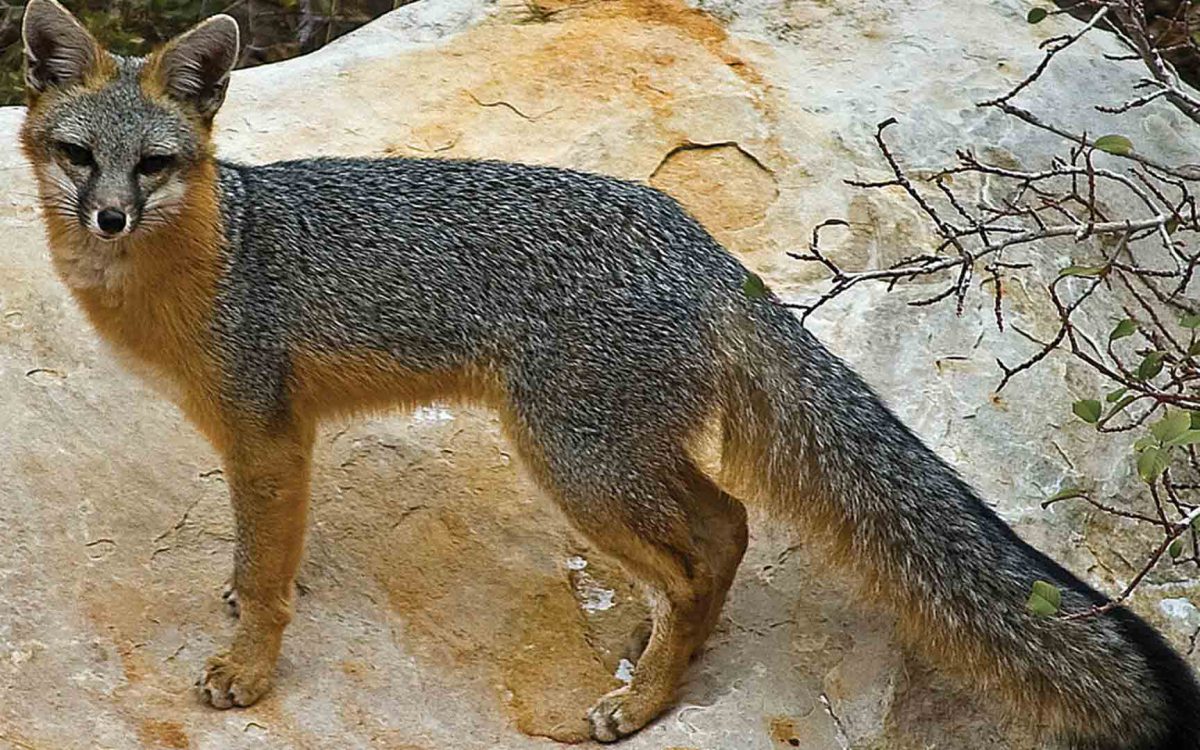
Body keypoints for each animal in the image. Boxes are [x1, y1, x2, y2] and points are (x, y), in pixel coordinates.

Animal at [16, 2, 1200, 744]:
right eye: (80, 157)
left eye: (154, 165)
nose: (108, 215)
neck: (209, 258)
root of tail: (701, 244)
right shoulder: (263, 442)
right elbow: (257, 549)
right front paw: (237, 597)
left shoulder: (267, 430)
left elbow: (268, 573)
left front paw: (248, 670)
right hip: (611, 454)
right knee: (719, 531)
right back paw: (653, 647)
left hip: (572, 457)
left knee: (711, 539)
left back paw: (645, 704)